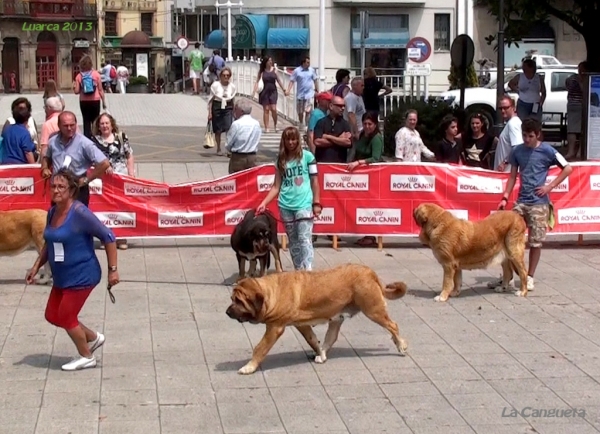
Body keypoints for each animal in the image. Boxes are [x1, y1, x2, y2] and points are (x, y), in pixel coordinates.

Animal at [225, 262, 408, 374]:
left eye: (238, 301)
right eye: (232, 299)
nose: (227, 312)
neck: (271, 291)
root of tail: (369, 271)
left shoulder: (274, 328)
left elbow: (260, 348)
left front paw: (249, 367)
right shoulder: (301, 325)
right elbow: (312, 339)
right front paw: (318, 351)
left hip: (373, 310)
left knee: (393, 325)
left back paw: (401, 345)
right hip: (338, 318)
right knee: (331, 337)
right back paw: (323, 354)